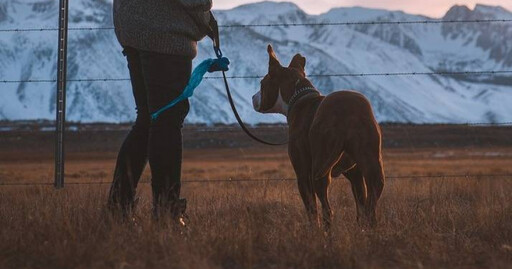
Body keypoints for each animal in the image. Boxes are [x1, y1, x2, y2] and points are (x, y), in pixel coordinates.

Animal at [252, 45, 384, 227]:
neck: (298, 97)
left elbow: (311, 209)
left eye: (262, 84)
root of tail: (347, 113)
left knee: (327, 209)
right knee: (371, 204)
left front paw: (313, 229)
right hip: (371, 164)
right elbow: (361, 205)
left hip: (320, 167)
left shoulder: (302, 173)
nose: (253, 97)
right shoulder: (354, 173)